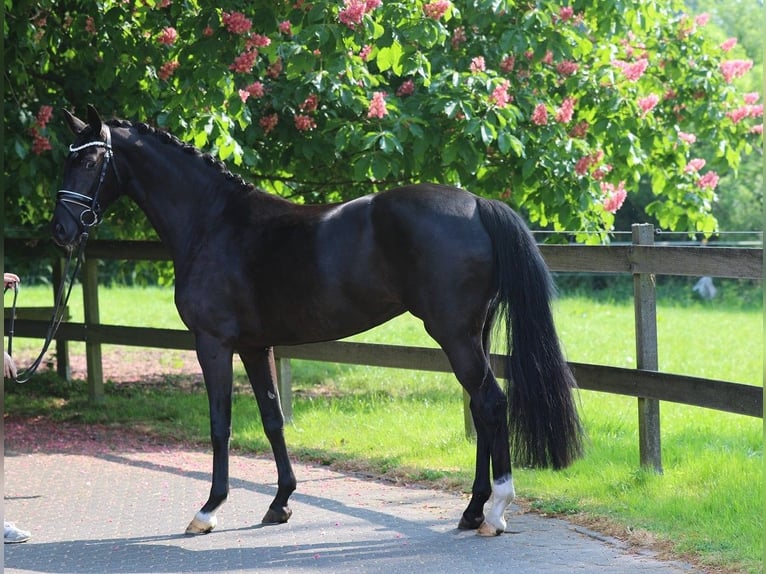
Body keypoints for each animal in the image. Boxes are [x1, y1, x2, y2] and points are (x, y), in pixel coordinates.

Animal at [52, 104, 584, 540]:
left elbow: (221, 424)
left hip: (454, 335)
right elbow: (272, 419)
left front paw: (209, 510)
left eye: (90, 161)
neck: (214, 223)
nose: (61, 230)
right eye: (68, 159)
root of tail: (476, 204)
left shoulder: (213, 344)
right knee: (480, 406)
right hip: (472, 334)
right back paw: (472, 510)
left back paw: (494, 510)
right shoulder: (256, 346)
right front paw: (280, 502)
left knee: (491, 403)